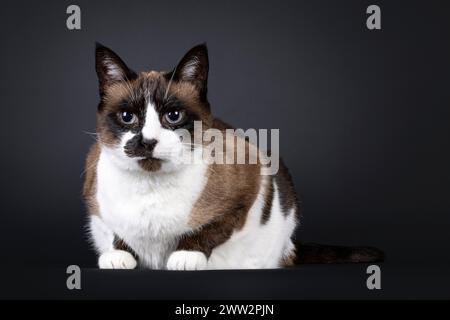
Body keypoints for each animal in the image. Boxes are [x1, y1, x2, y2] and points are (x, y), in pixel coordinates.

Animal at [83, 42, 384, 268]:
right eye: (127, 117)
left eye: (173, 116)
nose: (147, 141)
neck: (150, 185)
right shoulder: (95, 200)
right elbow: (115, 232)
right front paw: (119, 254)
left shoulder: (248, 186)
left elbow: (209, 229)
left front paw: (185, 256)